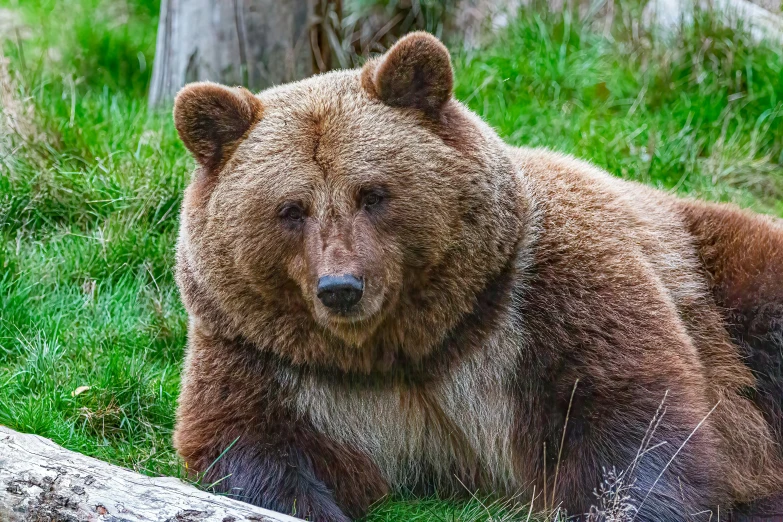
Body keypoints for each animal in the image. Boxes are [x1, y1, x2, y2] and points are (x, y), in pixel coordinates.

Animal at [170, 32, 783, 520]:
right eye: (291, 209)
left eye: (373, 193)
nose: (341, 288)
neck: (413, 345)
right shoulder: (276, 361)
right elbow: (249, 444)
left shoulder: (541, 298)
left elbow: (628, 420)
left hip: (719, 275)